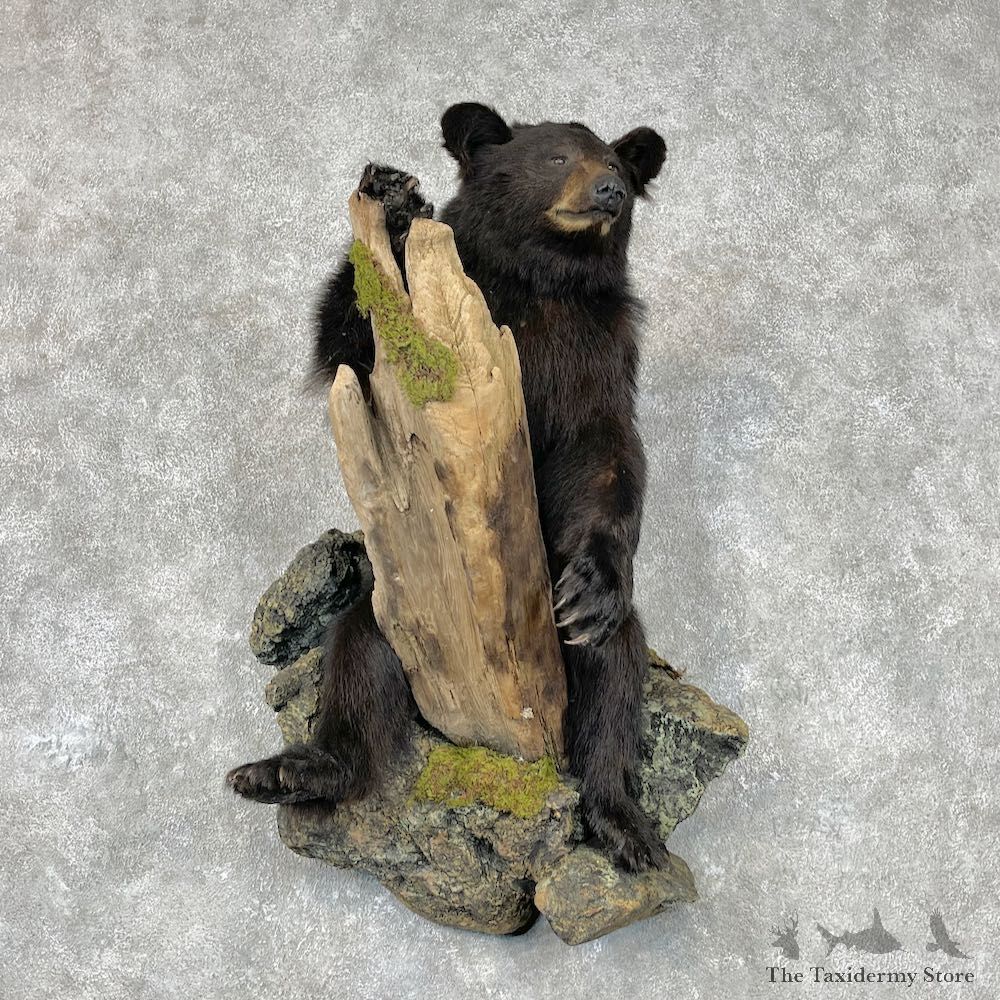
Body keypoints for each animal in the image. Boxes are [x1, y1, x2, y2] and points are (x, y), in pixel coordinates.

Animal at [227, 103, 668, 872]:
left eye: (615, 163)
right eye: (556, 157)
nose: (609, 191)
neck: (542, 281)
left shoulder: (597, 350)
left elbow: (604, 454)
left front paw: (596, 579)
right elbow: (347, 341)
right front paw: (397, 200)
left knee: (613, 675)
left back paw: (622, 822)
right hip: (396, 608)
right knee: (359, 664)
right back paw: (288, 771)